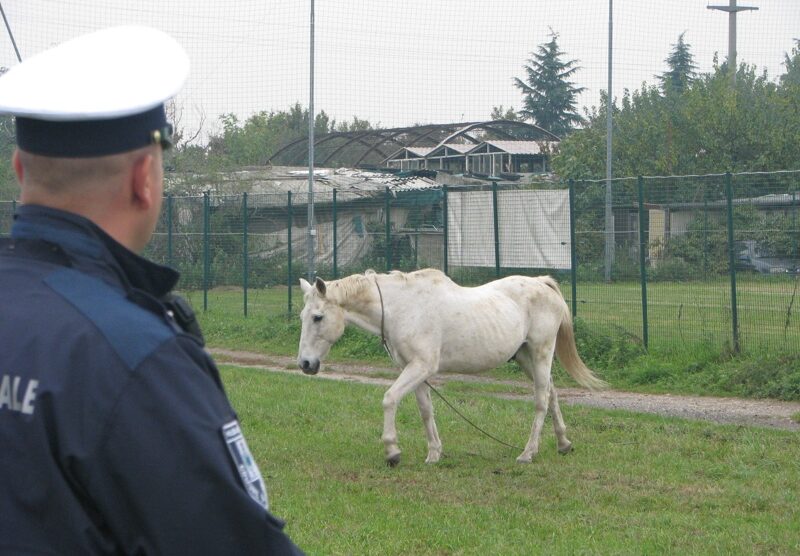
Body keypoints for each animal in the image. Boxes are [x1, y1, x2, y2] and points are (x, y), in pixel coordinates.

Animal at [300, 268, 608, 464]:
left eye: (317, 317)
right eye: (304, 316)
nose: (305, 363)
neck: (403, 308)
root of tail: (542, 283)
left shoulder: (420, 367)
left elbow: (389, 399)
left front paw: (392, 451)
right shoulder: (415, 370)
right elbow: (426, 411)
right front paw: (434, 454)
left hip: (541, 352)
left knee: (541, 400)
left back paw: (527, 453)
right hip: (524, 357)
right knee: (552, 393)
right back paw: (563, 443)